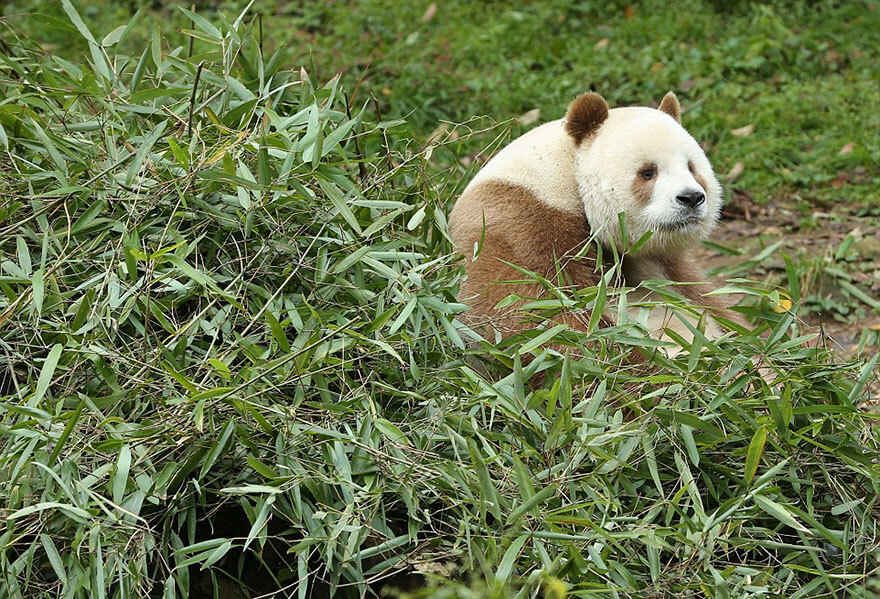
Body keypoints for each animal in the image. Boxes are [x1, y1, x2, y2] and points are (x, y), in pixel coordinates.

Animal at [446, 91, 736, 354]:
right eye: (647, 172)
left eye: (691, 167)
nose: (691, 198)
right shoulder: (521, 226)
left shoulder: (664, 263)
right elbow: (537, 318)